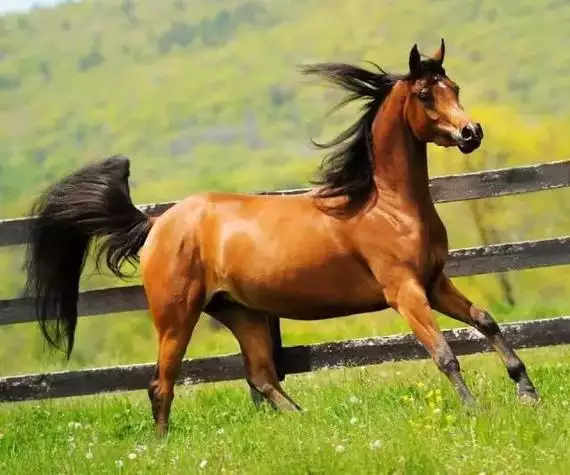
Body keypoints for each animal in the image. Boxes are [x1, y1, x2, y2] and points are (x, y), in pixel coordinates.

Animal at [23, 40, 536, 436]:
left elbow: (487, 321)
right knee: (162, 385)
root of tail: (157, 225)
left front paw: (527, 393)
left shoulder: (434, 282)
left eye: (455, 88)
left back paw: (309, 422)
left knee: (262, 378)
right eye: (427, 94)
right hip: (176, 317)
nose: (471, 132)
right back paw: (163, 446)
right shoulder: (404, 292)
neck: (385, 206)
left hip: (241, 313)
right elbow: (445, 353)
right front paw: (476, 410)